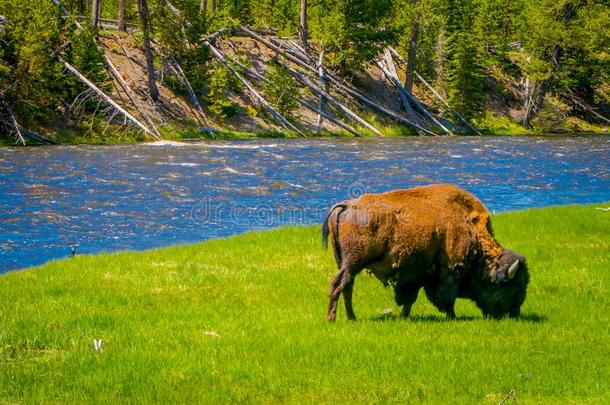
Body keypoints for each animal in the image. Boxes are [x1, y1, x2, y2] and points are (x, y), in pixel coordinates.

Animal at [320, 183, 524, 318]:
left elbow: (410, 297)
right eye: (510, 286)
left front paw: (404, 316)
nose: (513, 313)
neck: (469, 225)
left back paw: (351, 317)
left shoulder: (417, 273)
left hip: (346, 263)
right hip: (354, 262)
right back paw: (332, 319)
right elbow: (446, 296)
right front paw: (452, 316)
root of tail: (347, 205)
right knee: (338, 284)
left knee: (346, 286)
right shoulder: (448, 270)